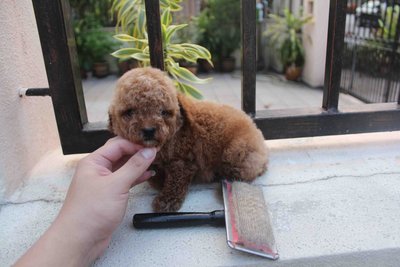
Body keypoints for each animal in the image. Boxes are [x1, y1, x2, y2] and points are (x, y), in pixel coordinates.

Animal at [108, 68, 268, 213]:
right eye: (129, 112)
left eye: (164, 112)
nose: (149, 130)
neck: (171, 137)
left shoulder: (183, 162)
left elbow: (175, 181)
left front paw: (166, 201)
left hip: (235, 152)